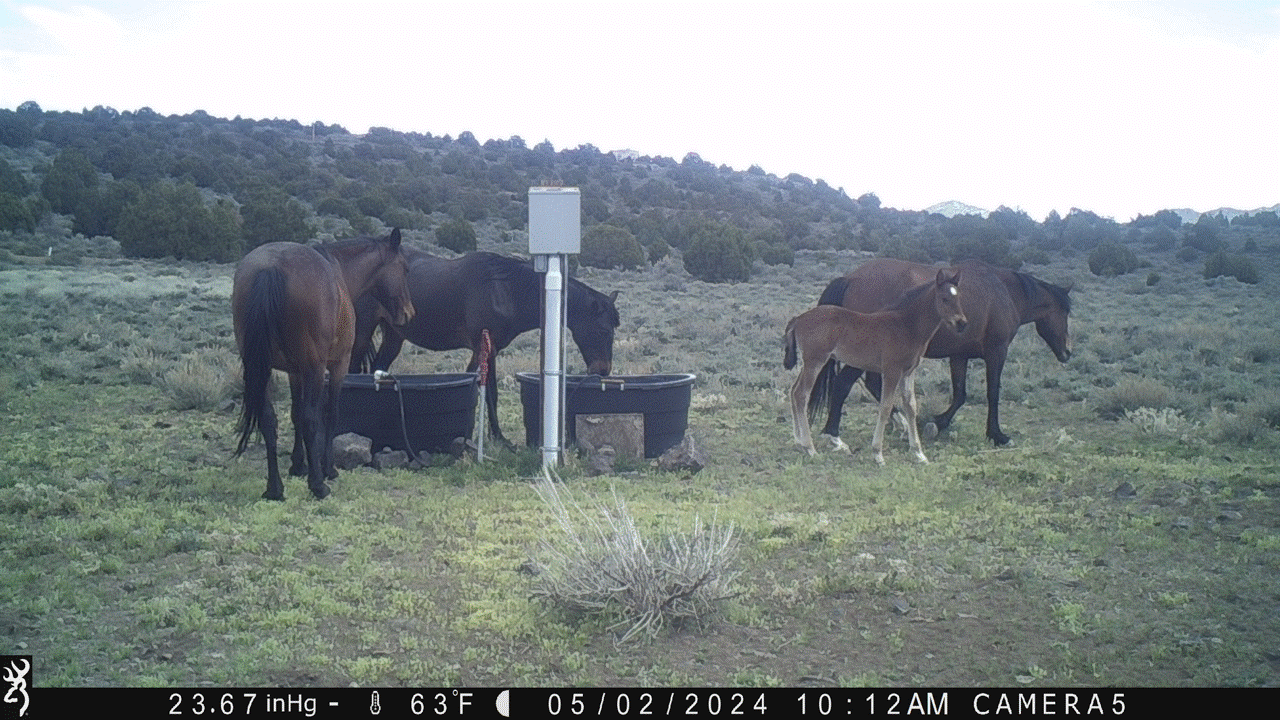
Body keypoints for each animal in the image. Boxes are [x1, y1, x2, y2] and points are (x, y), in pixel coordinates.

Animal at [232, 229, 414, 500]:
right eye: (404, 268)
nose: (408, 312)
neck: (339, 270)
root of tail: (271, 267)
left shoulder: (295, 373)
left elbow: (295, 413)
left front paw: (298, 465)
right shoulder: (337, 366)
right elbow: (329, 414)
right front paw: (327, 468)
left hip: (260, 367)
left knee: (268, 419)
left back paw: (274, 488)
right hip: (315, 369)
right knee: (311, 419)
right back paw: (318, 484)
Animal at [349, 249, 620, 443]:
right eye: (604, 331)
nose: (602, 370)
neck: (506, 291)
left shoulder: (493, 350)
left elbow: (492, 393)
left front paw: (498, 437)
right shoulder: (480, 348)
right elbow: (475, 388)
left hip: (394, 336)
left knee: (378, 368)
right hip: (362, 331)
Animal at [784, 269, 966, 465]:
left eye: (959, 297)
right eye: (944, 299)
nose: (962, 323)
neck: (906, 326)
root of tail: (798, 319)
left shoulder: (908, 372)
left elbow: (911, 406)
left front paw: (919, 453)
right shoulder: (891, 371)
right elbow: (886, 407)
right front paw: (878, 454)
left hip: (810, 363)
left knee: (793, 390)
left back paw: (799, 442)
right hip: (815, 361)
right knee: (801, 394)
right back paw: (810, 448)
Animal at [810, 258, 1072, 447]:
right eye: (1066, 312)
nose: (1068, 352)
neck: (1004, 291)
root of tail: (850, 278)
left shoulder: (959, 356)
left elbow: (960, 395)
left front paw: (936, 423)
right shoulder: (997, 352)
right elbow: (992, 394)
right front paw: (997, 435)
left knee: (870, 383)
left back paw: (899, 425)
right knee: (844, 384)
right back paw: (834, 435)